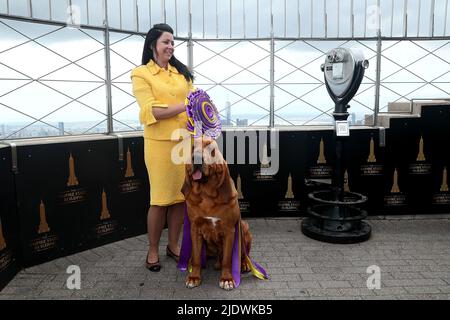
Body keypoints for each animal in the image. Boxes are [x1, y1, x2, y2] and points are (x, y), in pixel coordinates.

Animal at [183, 138, 253, 290]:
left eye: (211, 150)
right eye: (192, 147)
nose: (197, 158)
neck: (206, 195)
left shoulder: (229, 230)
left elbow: (227, 259)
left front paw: (227, 279)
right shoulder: (195, 228)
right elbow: (197, 257)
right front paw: (194, 277)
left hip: (244, 227)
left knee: (244, 253)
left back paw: (244, 264)